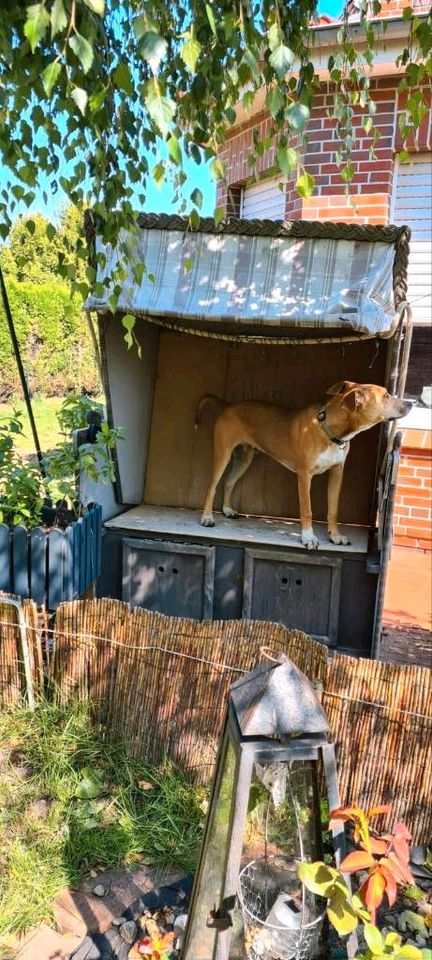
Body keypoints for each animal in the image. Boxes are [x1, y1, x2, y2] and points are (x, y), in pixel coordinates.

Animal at [196, 380, 408, 548]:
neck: (329, 432)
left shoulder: (337, 472)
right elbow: (307, 510)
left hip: (244, 458)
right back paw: (207, 517)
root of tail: (228, 405)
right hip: (223, 454)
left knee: (229, 482)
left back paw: (227, 509)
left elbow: (333, 509)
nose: (410, 402)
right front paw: (308, 537)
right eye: (386, 395)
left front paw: (335, 536)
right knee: (211, 486)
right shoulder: (305, 475)